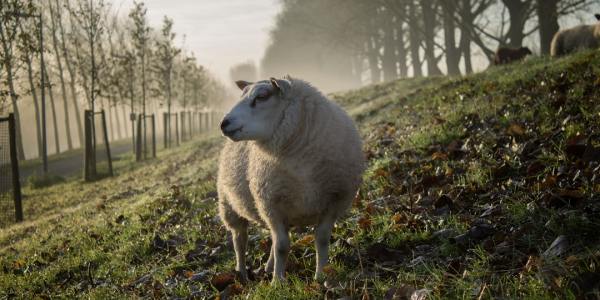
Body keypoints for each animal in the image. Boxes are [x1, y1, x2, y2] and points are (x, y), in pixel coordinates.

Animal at [217, 75, 364, 284]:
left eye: (262, 97)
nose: (224, 123)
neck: (300, 164)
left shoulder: (334, 201)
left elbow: (321, 239)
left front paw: (322, 276)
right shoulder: (271, 205)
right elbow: (282, 246)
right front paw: (278, 282)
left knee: (269, 238)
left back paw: (268, 267)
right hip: (229, 206)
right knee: (240, 240)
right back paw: (242, 273)